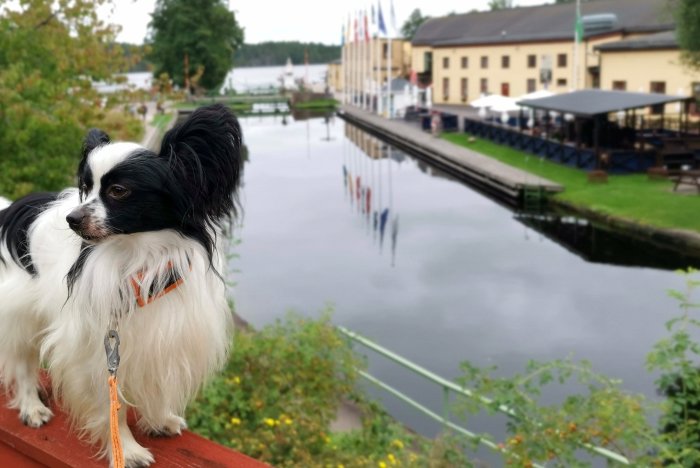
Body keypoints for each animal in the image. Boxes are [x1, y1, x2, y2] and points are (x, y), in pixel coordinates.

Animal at [0, 104, 243, 466]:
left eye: (118, 191)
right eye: (86, 186)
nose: (72, 219)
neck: (139, 256)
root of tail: (9, 212)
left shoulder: (163, 336)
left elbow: (156, 386)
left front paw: (159, 420)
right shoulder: (93, 351)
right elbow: (111, 406)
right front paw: (125, 449)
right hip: (19, 315)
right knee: (21, 364)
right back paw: (32, 407)